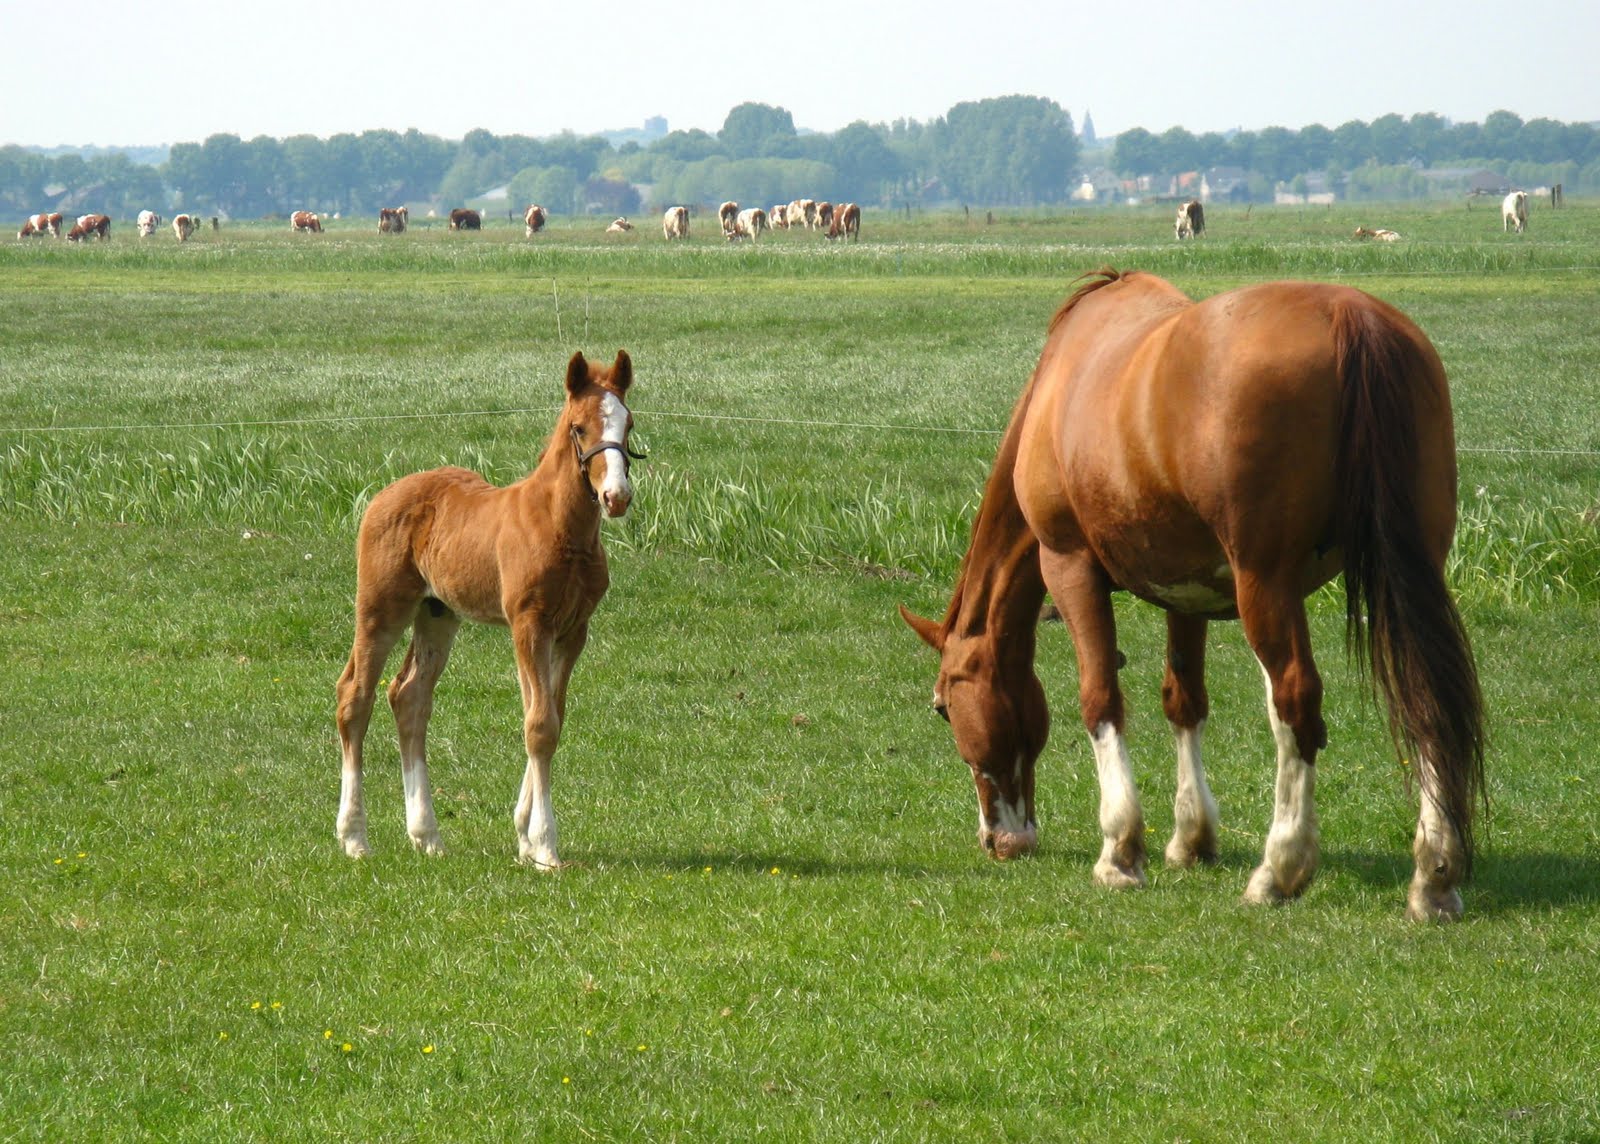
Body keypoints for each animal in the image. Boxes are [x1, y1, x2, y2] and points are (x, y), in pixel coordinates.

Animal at [335, 350, 645, 868]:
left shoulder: (572, 630)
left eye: (628, 423)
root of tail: (382, 494)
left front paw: (524, 836)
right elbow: (539, 725)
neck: (561, 529)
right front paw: (544, 845)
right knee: (355, 696)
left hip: (437, 613)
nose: (616, 496)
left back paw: (426, 834)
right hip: (381, 607)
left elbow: (551, 714)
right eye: (579, 427)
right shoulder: (528, 623)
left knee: (409, 697)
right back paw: (355, 836)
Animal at [901, 269, 1485, 921]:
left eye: (943, 706)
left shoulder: (1068, 565)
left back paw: (1280, 868)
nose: (1000, 840)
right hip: (1412, 572)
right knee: (1427, 701)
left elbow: (1100, 699)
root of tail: (1350, 317)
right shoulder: (1188, 591)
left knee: (1296, 703)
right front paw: (1192, 838)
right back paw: (1434, 877)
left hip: (1265, 585)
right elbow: (1184, 700)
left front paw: (1120, 851)